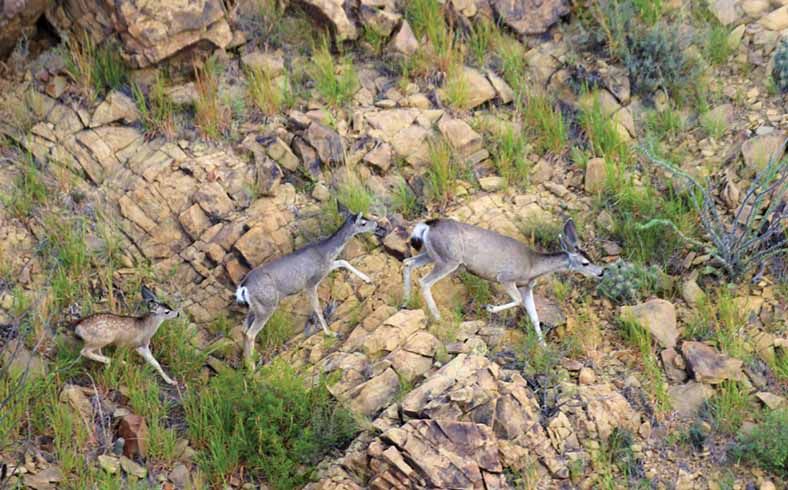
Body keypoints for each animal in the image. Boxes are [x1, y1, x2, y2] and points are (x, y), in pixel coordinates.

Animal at [234, 207, 384, 368]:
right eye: (363, 222)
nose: (377, 225)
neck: (324, 252)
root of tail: (243, 287)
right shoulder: (310, 283)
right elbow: (317, 308)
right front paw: (330, 333)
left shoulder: (326, 268)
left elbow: (343, 261)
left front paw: (368, 279)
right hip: (267, 305)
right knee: (250, 333)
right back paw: (252, 368)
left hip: (255, 307)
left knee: (243, 330)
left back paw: (247, 364)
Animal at [406, 218, 604, 344]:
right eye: (585, 263)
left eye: (590, 257)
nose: (601, 272)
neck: (532, 266)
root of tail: (428, 225)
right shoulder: (505, 278)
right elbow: (517, 301)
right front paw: (490, 308)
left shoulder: (527, 287)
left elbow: (534, 316)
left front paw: (543, 347)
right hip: (448, 260)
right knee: (424, 281)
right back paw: (437, 317)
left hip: (432, 254)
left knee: (408, 262)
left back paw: (406, 302)